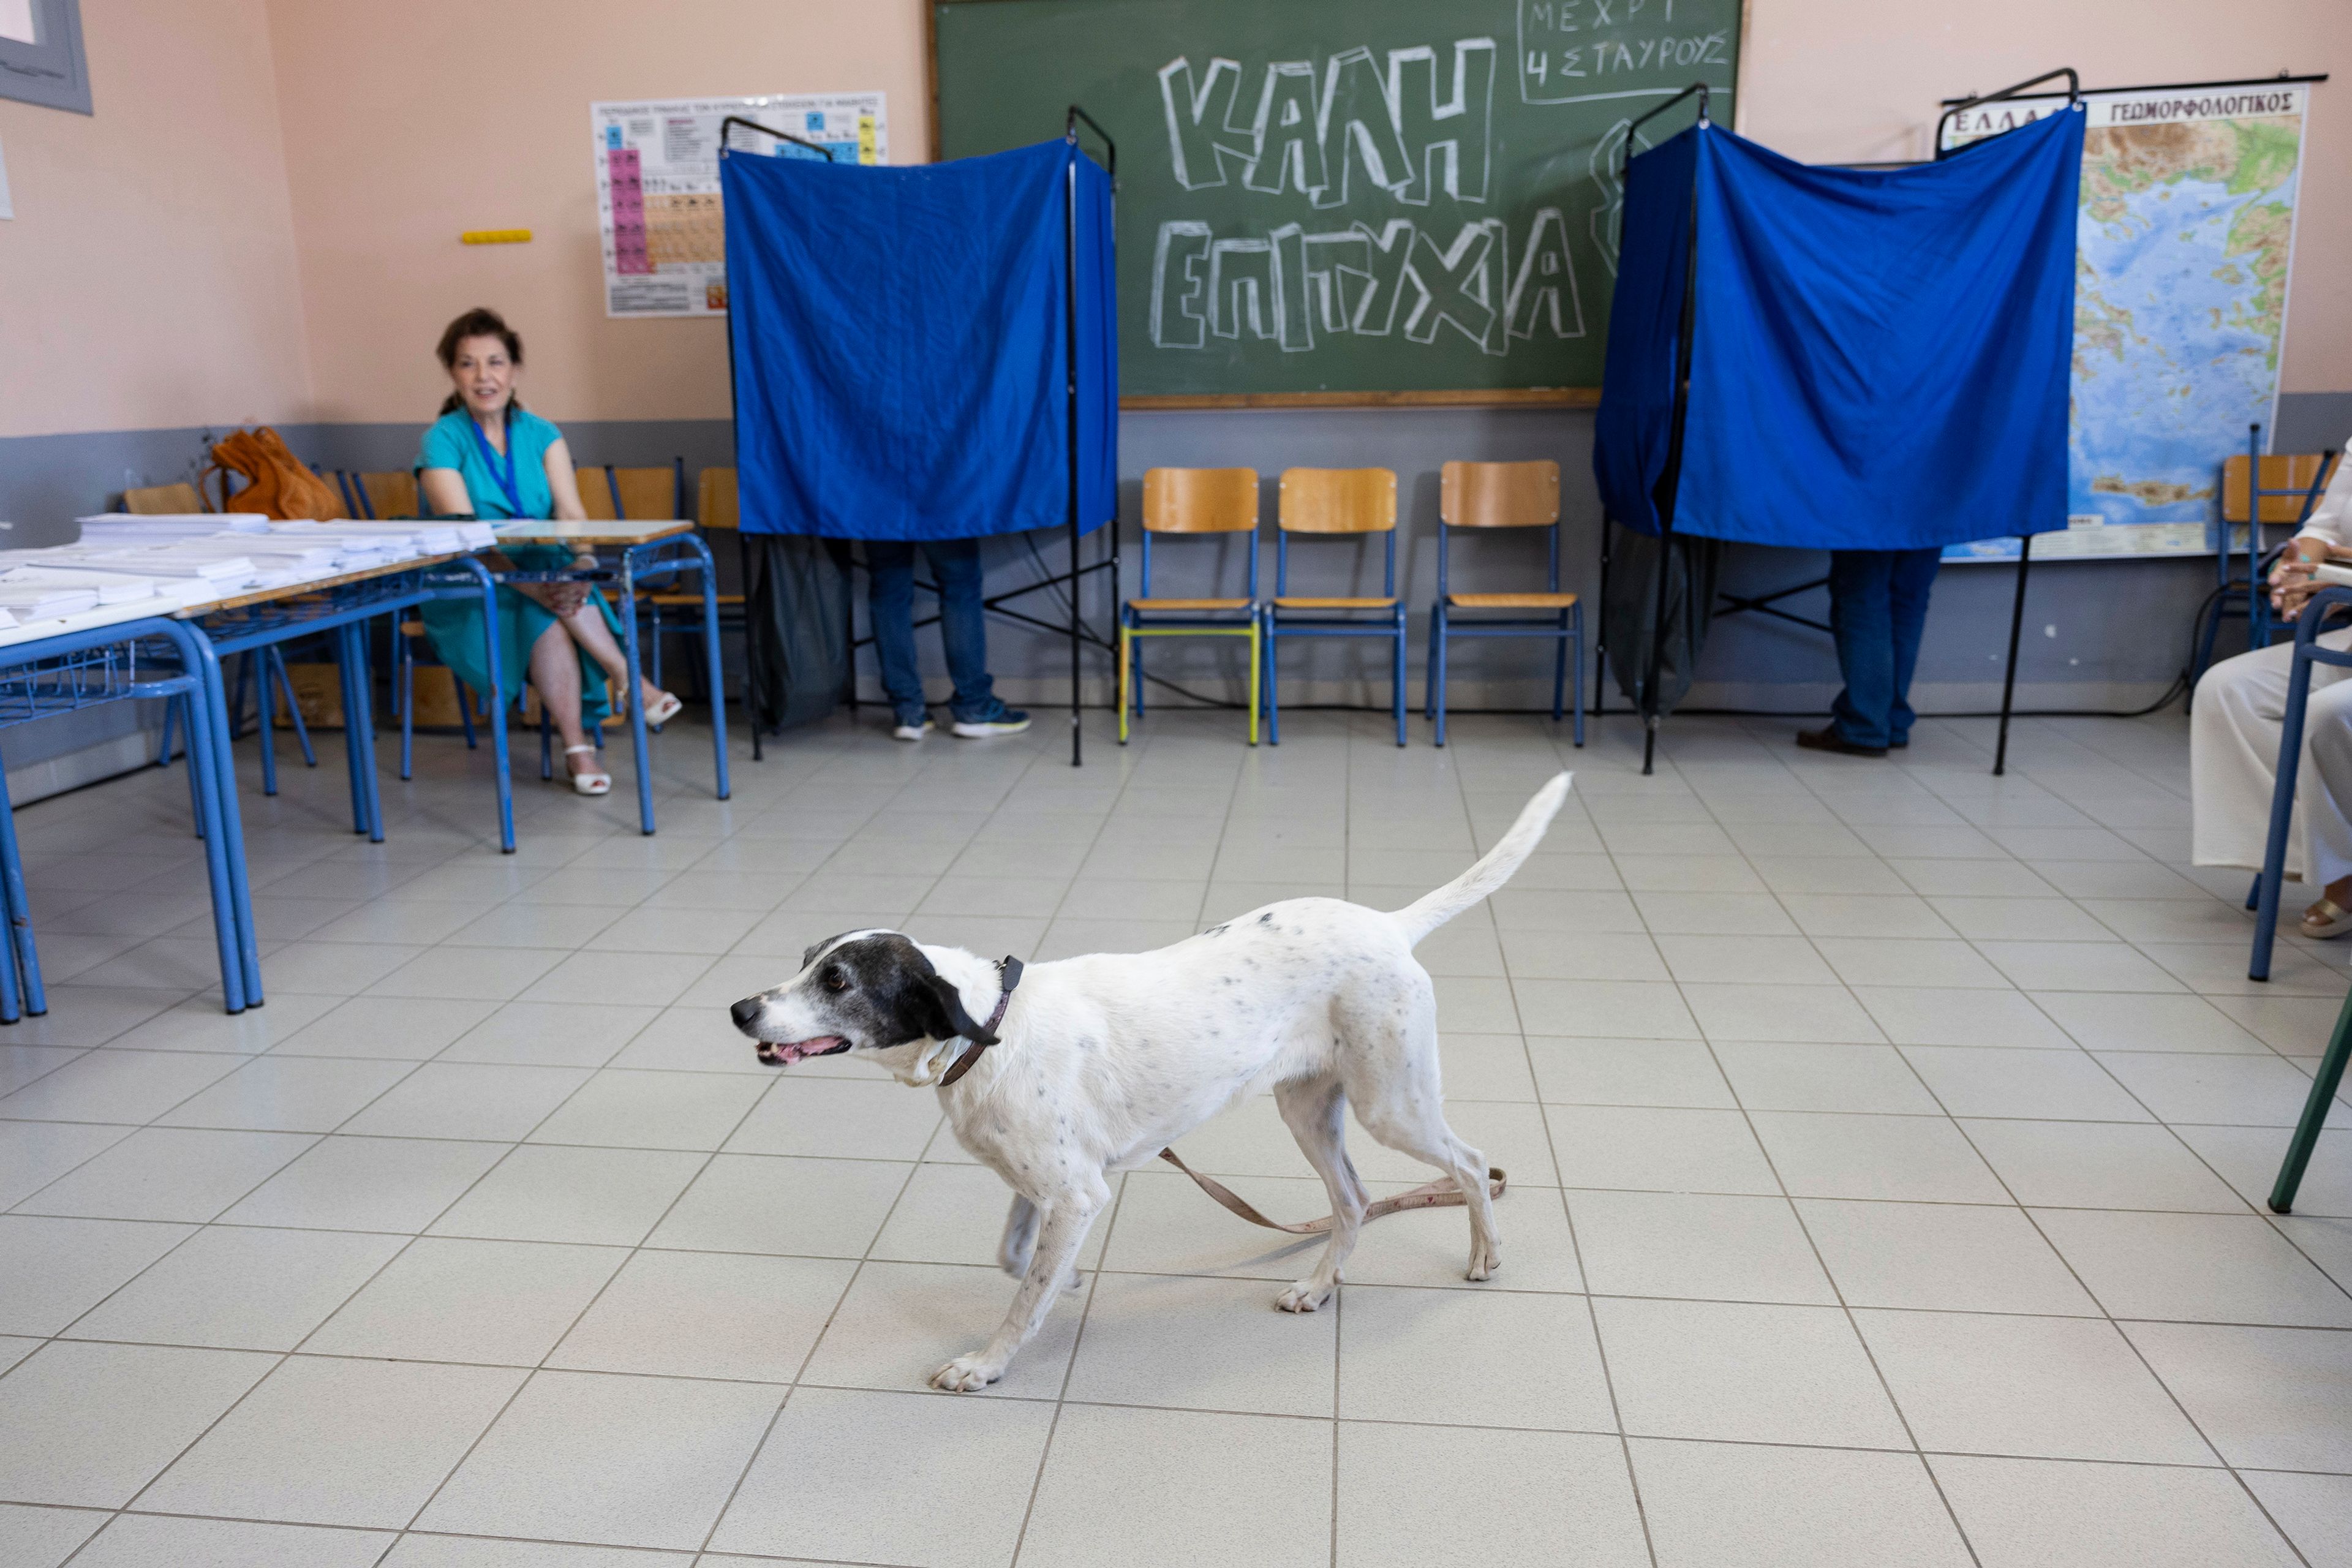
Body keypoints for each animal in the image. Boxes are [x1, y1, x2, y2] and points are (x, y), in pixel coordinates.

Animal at [734, 771, 1571, 1382]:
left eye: (836, 980)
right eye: (805, 959)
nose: (740, 1008)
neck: (989, 1027)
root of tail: (1389, 924)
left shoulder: (1076, 1193)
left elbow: (1021, 1298)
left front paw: (987, 1362)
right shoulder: (1049, 1186)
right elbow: (1016, 1259)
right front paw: (1069, 1281)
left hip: (1389, 1102)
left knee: (1468, 1162)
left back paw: (1485, 1255)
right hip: (1309, 1110)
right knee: (1355, 1201)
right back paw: (1317, 1286)